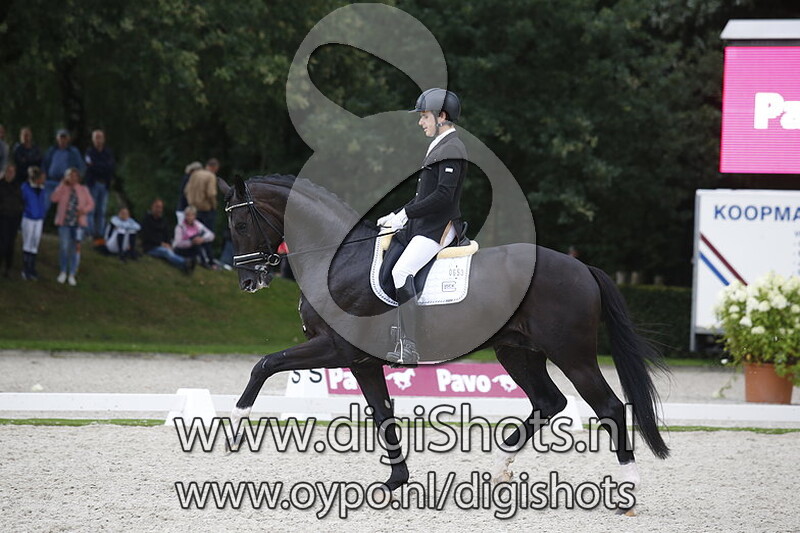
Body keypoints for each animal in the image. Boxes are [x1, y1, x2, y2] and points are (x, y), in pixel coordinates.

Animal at [219, 173, 669, 511]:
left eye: (240, 226)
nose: (248, 281)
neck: (337, 259)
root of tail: (582, 268)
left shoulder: (337, 350)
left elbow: (265, 364)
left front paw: (235, 429)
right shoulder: (363, 362)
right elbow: (383, 414)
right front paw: (395, 481)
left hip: (572, 355)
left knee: (609, 407)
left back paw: (626, 492)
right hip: (518, 352)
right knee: (548, 401)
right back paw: (499, 469)